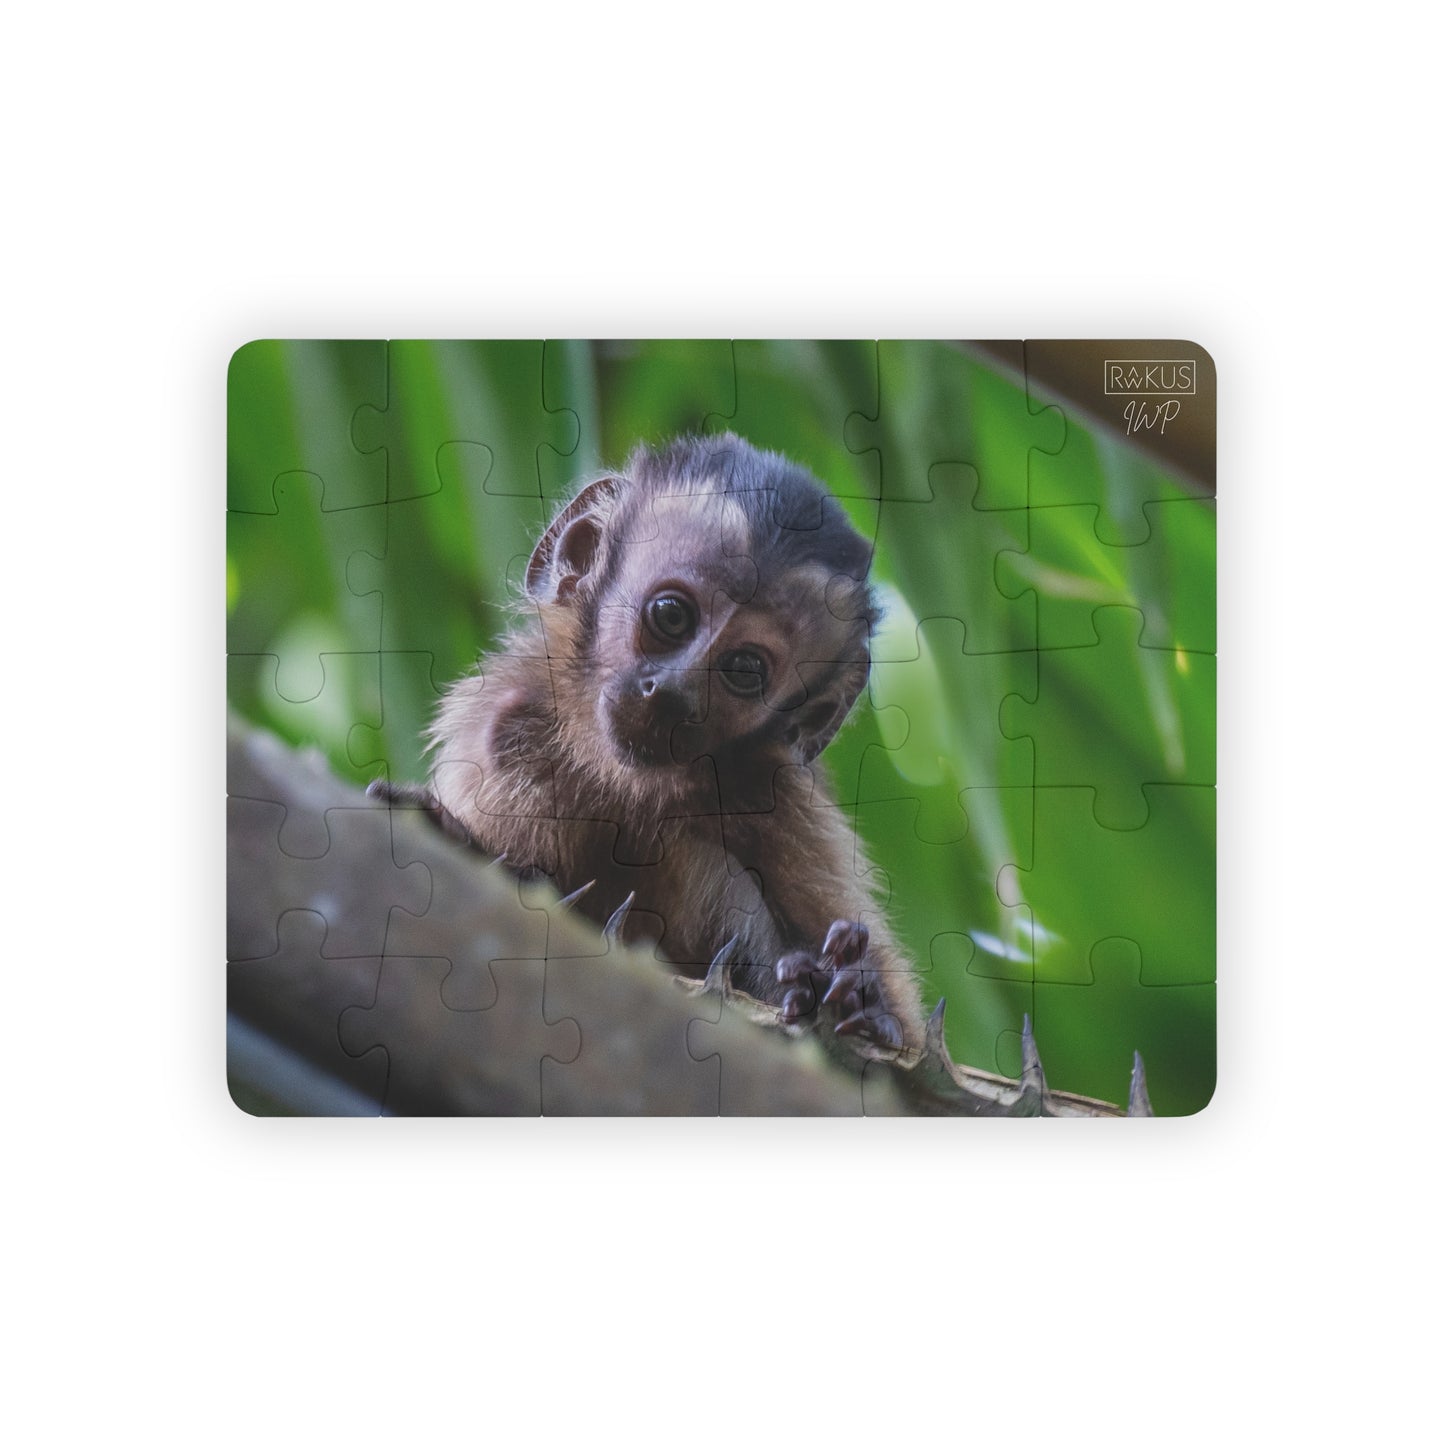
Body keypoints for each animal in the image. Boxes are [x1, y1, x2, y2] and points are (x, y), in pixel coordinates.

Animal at [378, 434, 926, 1054]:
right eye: (670, 615)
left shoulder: (786, 803)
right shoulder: (501, 726)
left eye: (744, 669)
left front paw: (857, 999)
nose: (671, 693)